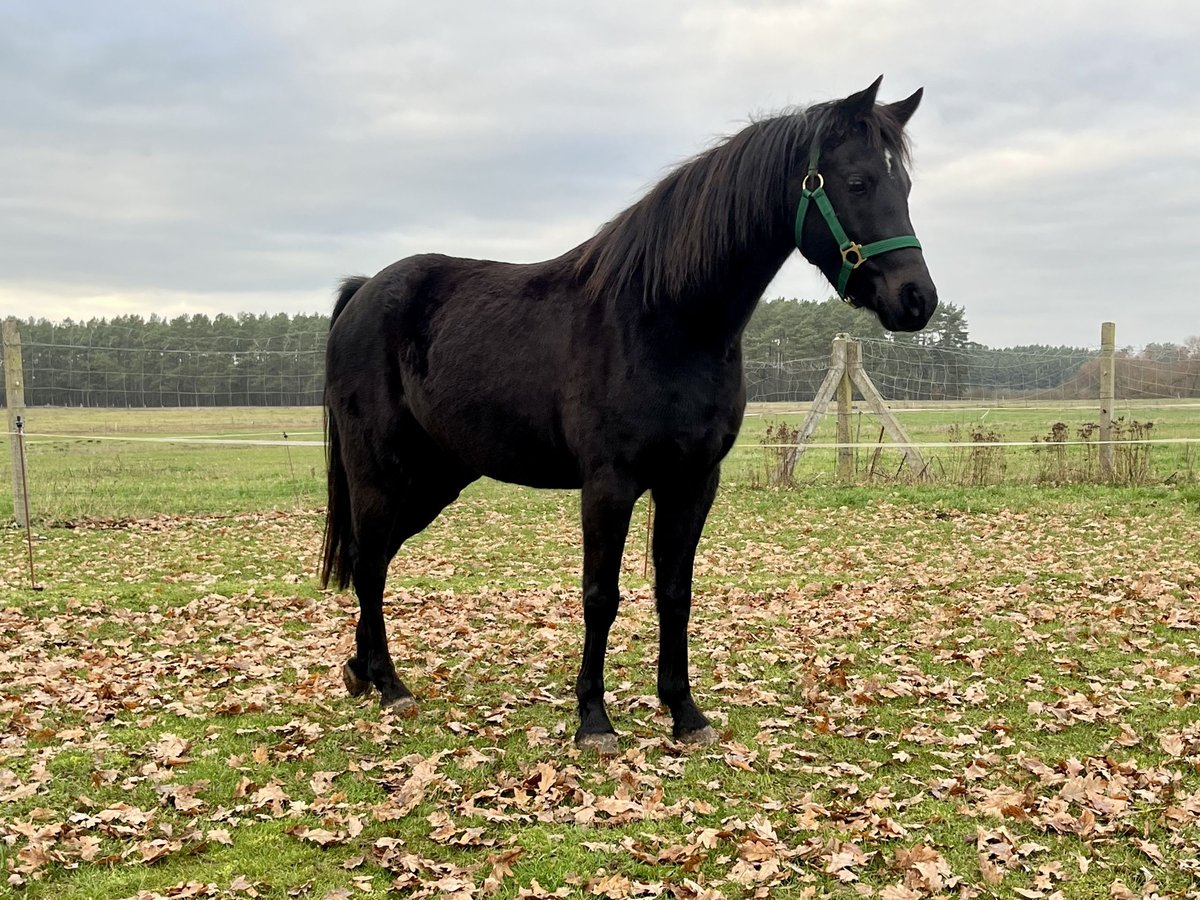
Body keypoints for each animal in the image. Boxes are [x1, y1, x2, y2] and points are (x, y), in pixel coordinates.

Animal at [319, 77, 936, 753]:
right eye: (856, 182)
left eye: (904, 187)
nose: (917, 300)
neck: (663, 319)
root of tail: (364, 292)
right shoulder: (609, 485)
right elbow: (601, 595)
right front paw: (593, 718)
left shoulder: (692, 483)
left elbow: (675, 593)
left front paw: (685, 713)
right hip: (381, 472)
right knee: (369, 563)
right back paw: (390, 685)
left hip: (435, 480)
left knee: (373, 558)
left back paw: (362, 673)